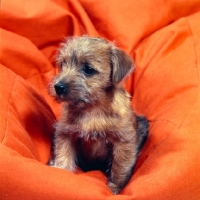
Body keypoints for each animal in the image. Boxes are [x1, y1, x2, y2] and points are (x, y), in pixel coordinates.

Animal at [48, 35, 148, 194]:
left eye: (88, 69)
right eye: (63, 64)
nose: (58, 86)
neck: (92, 108)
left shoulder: (123, 140)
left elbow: (120, 166)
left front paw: (116, 188)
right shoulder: (65, 133)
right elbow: (64, 154)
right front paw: (62, 171)